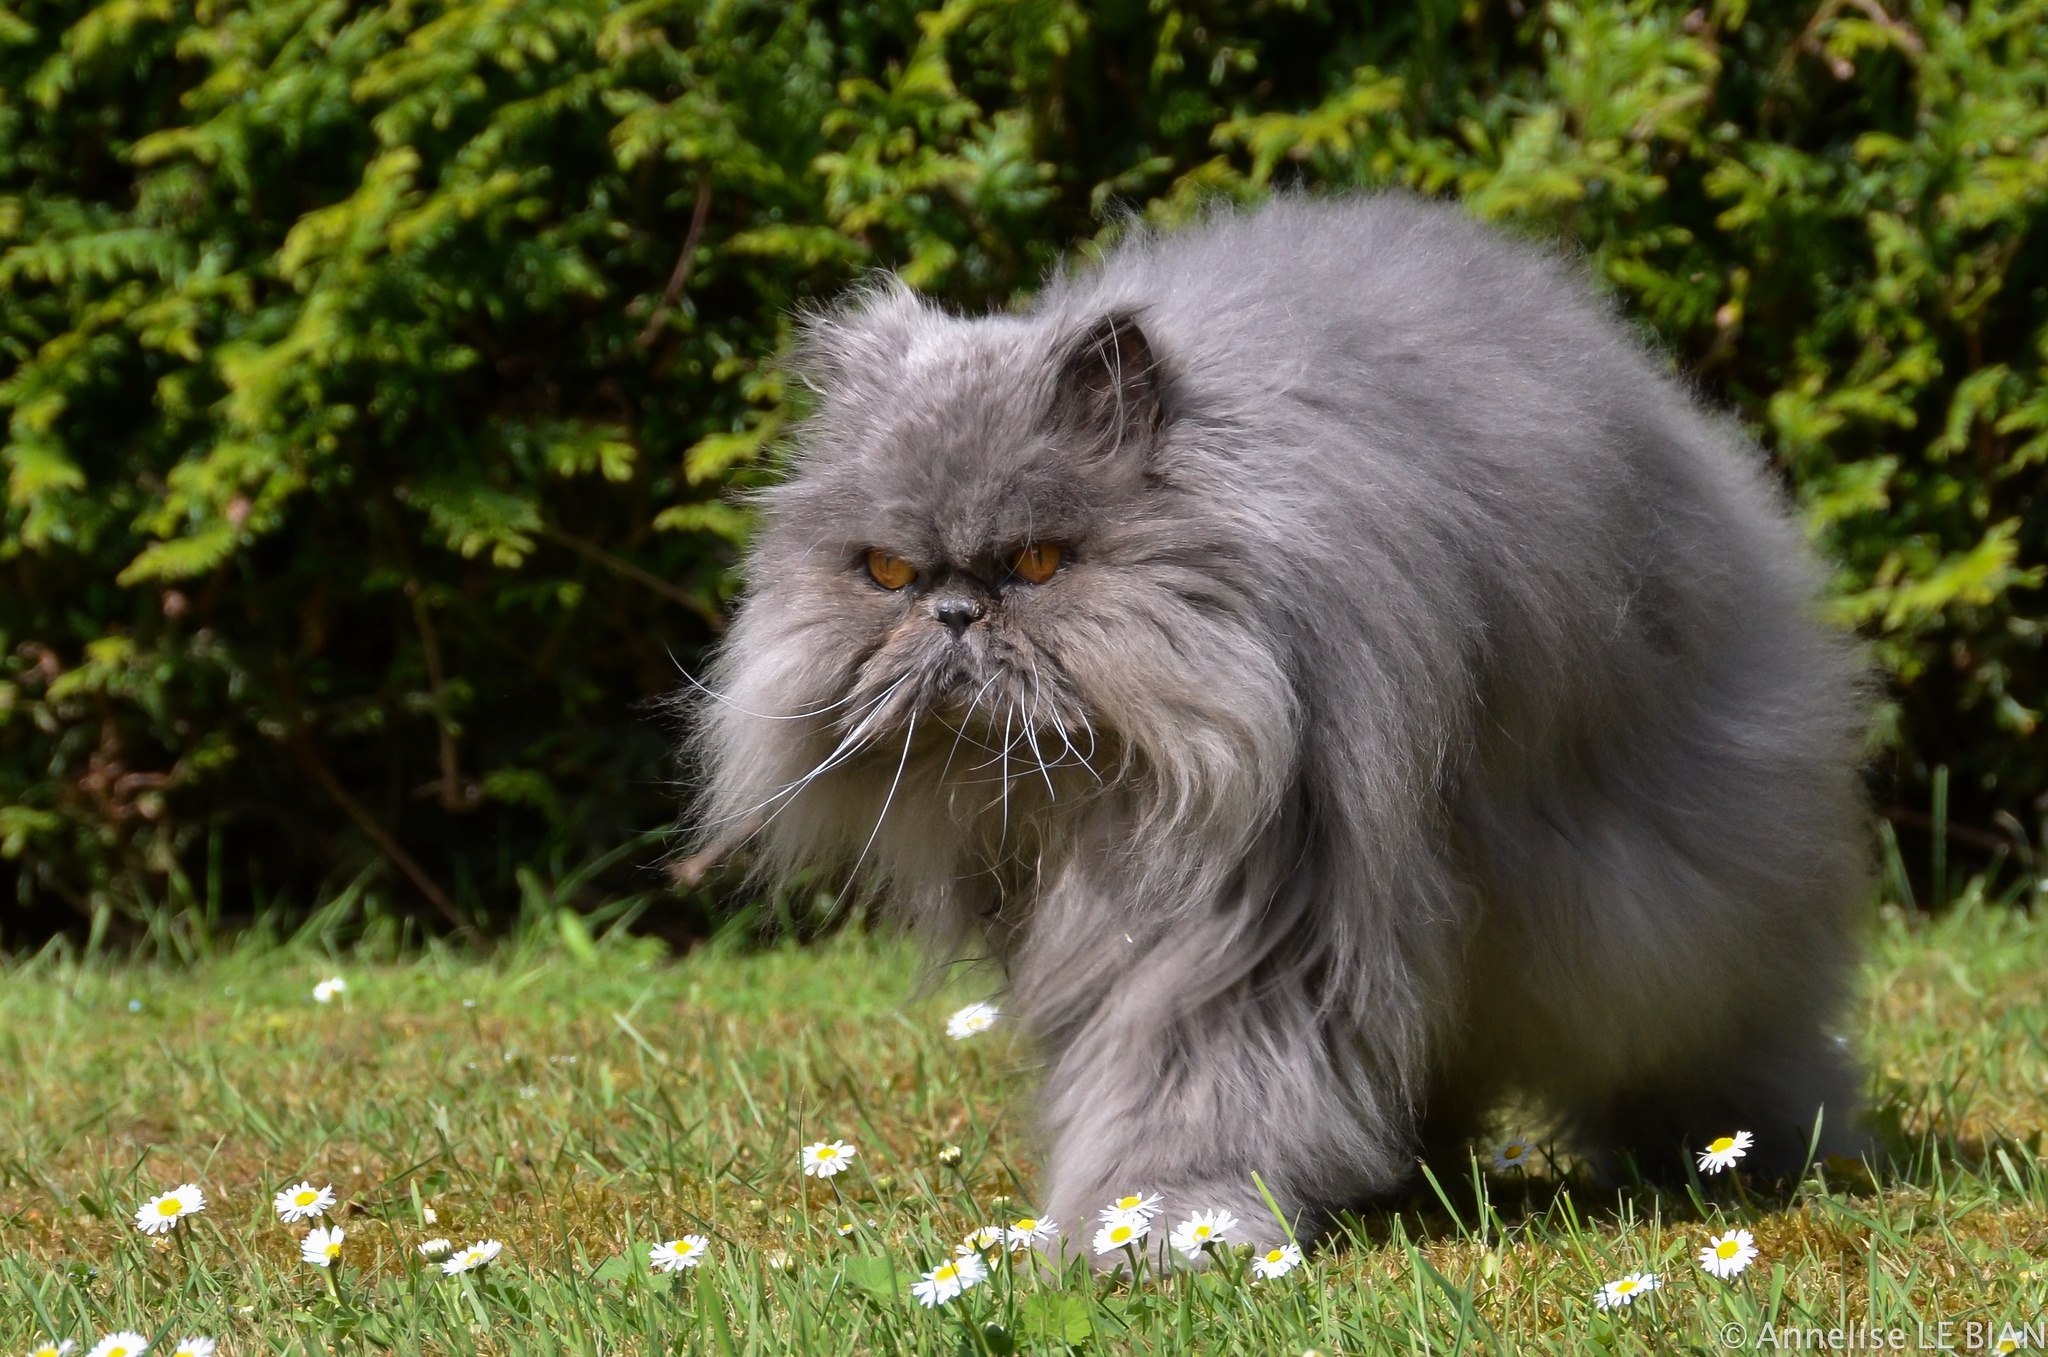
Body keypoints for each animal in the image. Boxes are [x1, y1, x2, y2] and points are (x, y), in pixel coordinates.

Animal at [688, 191, 1875, 1260]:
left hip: (1655, 893)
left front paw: (1158, 1229)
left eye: (1036, 562)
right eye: (888, 573)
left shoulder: (1253, 904)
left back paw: (1759, 1155)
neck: (1103, 781)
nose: (953, 613)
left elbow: (1186, 1078)